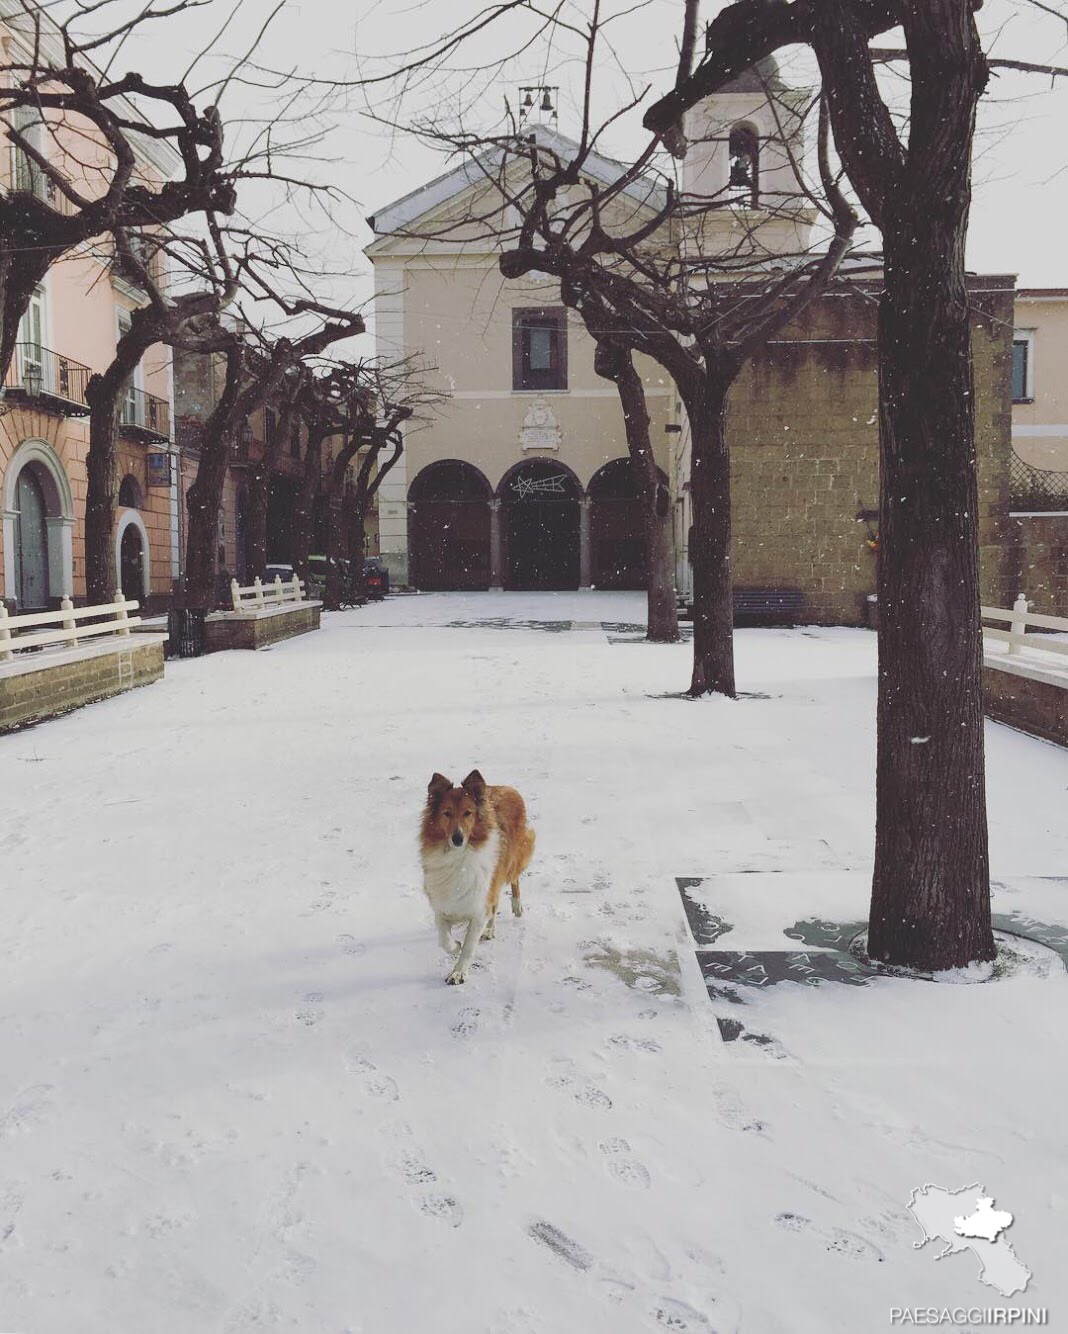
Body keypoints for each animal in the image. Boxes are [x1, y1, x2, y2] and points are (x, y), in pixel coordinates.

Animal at [416, 773, 533, 981]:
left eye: (467, 813)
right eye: (446, 813)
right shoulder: (442, 902)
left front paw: (458, 972)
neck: (458, 855)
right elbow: (443, 937)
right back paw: (490, 929)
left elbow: (469, 946)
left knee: (514, 880)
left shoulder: (480, 903)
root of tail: (506, 787)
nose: (457, 838)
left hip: (511, 861)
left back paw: (516, 907)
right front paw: (455, 946)